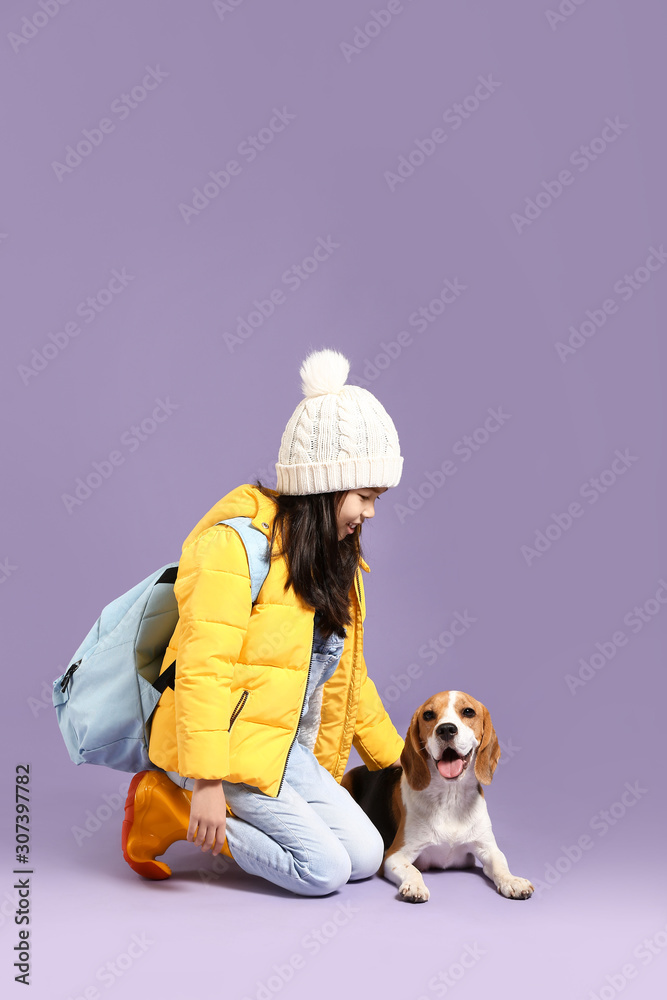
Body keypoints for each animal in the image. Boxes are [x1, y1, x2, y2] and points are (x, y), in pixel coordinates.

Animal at [342, 692, 536, 904]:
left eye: (468, 711)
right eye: (428, 715)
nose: (446, 729)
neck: (450, 796)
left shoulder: (487, 848)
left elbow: (500, 863)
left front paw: (513, 880)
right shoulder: (395, 855)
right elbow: (413, 870)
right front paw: (415, 886)